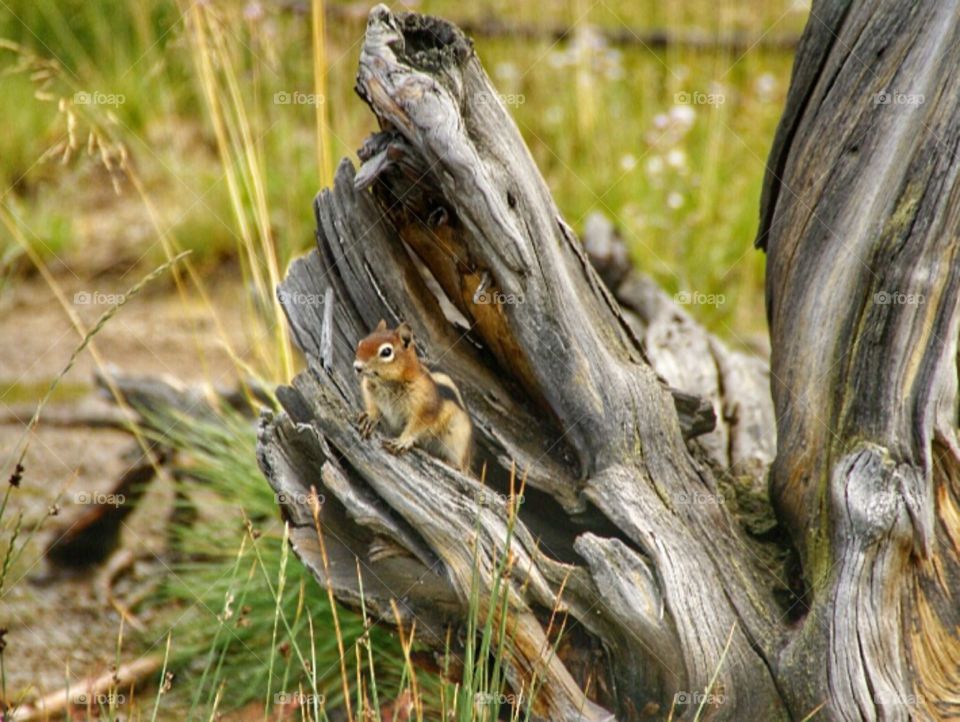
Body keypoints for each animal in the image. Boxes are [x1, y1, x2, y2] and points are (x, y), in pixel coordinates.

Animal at [353, 320, 473, 473]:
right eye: (361, 342)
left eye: (386, 352)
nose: (357, 366)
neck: (387, 383)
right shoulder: (368, 387)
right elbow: (371, 404)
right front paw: (370, 417)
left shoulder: (427, 406)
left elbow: (417, 426)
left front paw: (402, 441)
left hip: (457, 438)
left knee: (461, 466)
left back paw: (452, 464)